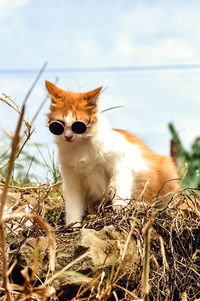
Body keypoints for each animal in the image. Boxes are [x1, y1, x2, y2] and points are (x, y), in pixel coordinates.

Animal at [45, 79, 178, 225]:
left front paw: (120, 207)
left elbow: (119, 187)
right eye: (58, 125)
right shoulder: (71, 181)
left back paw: (141, 205)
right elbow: (73, 208)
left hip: (167, 170)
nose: (68, 136)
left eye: (79, 126)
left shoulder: (122, 163)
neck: (81, 146)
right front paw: (73, 225)